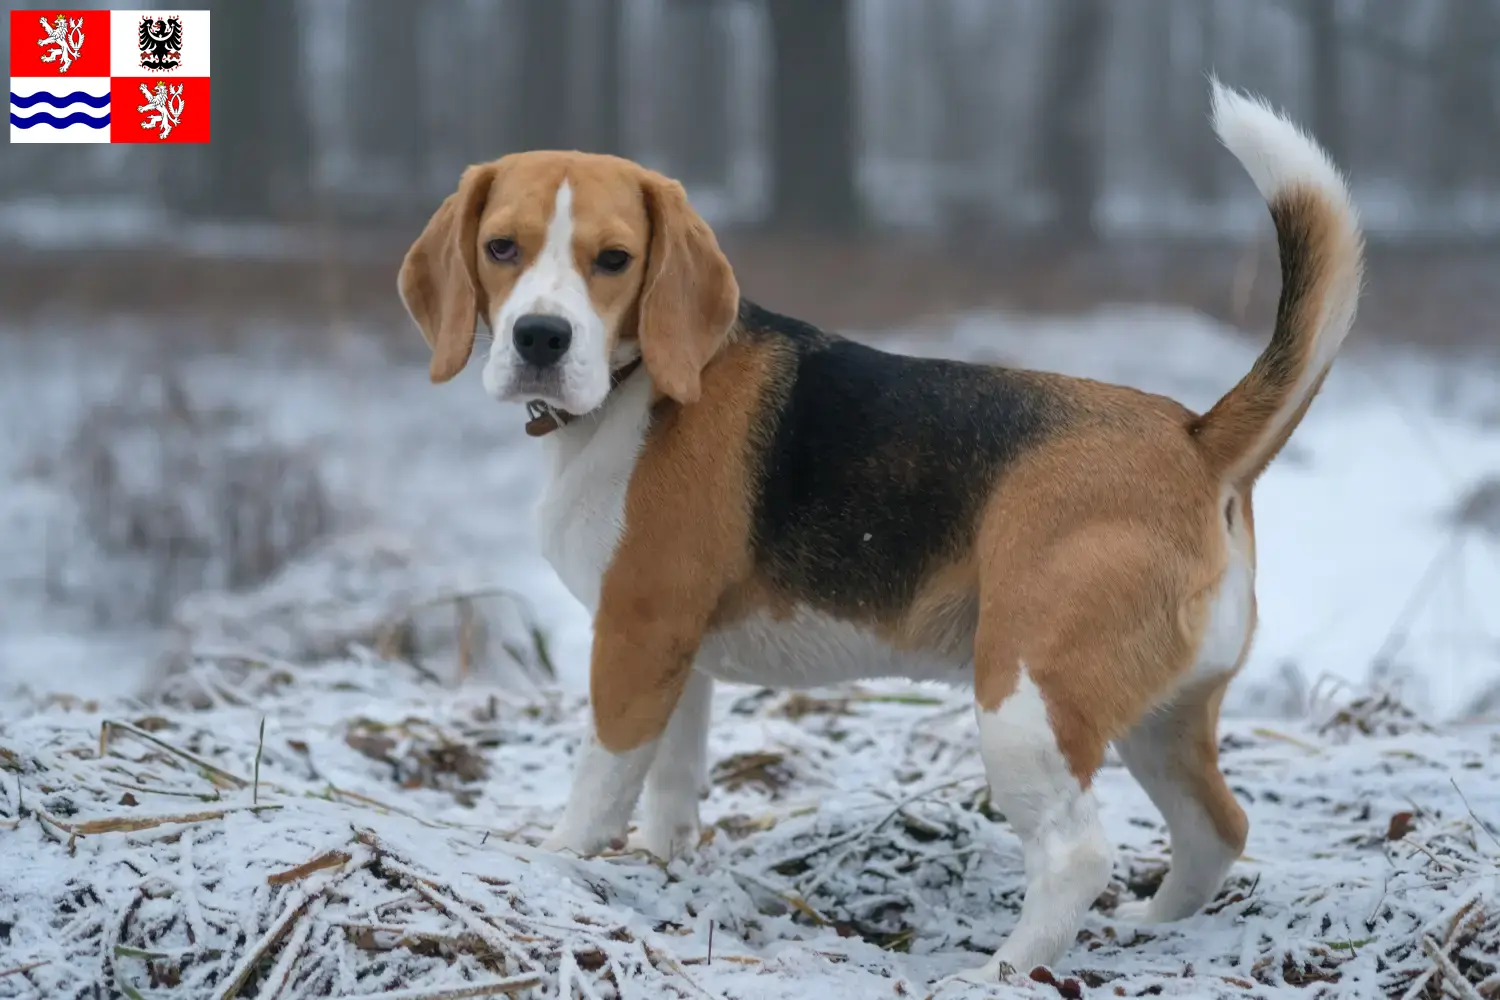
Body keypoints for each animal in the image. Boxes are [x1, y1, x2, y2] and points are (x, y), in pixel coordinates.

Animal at [399, 80, 1362, 983]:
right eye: (502, 248)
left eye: (613, 260)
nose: (541, 337)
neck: (637, 384)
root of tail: (1195, 436)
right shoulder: (676, 655)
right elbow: (671, 783)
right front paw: (662, 868)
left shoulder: (633, 639)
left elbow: (600, 781)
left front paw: (555, 867)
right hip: (1158, 717)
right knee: (1217, 829)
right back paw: (1151, 928)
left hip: (1023, 703)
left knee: (1078, 855)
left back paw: (999, 971)